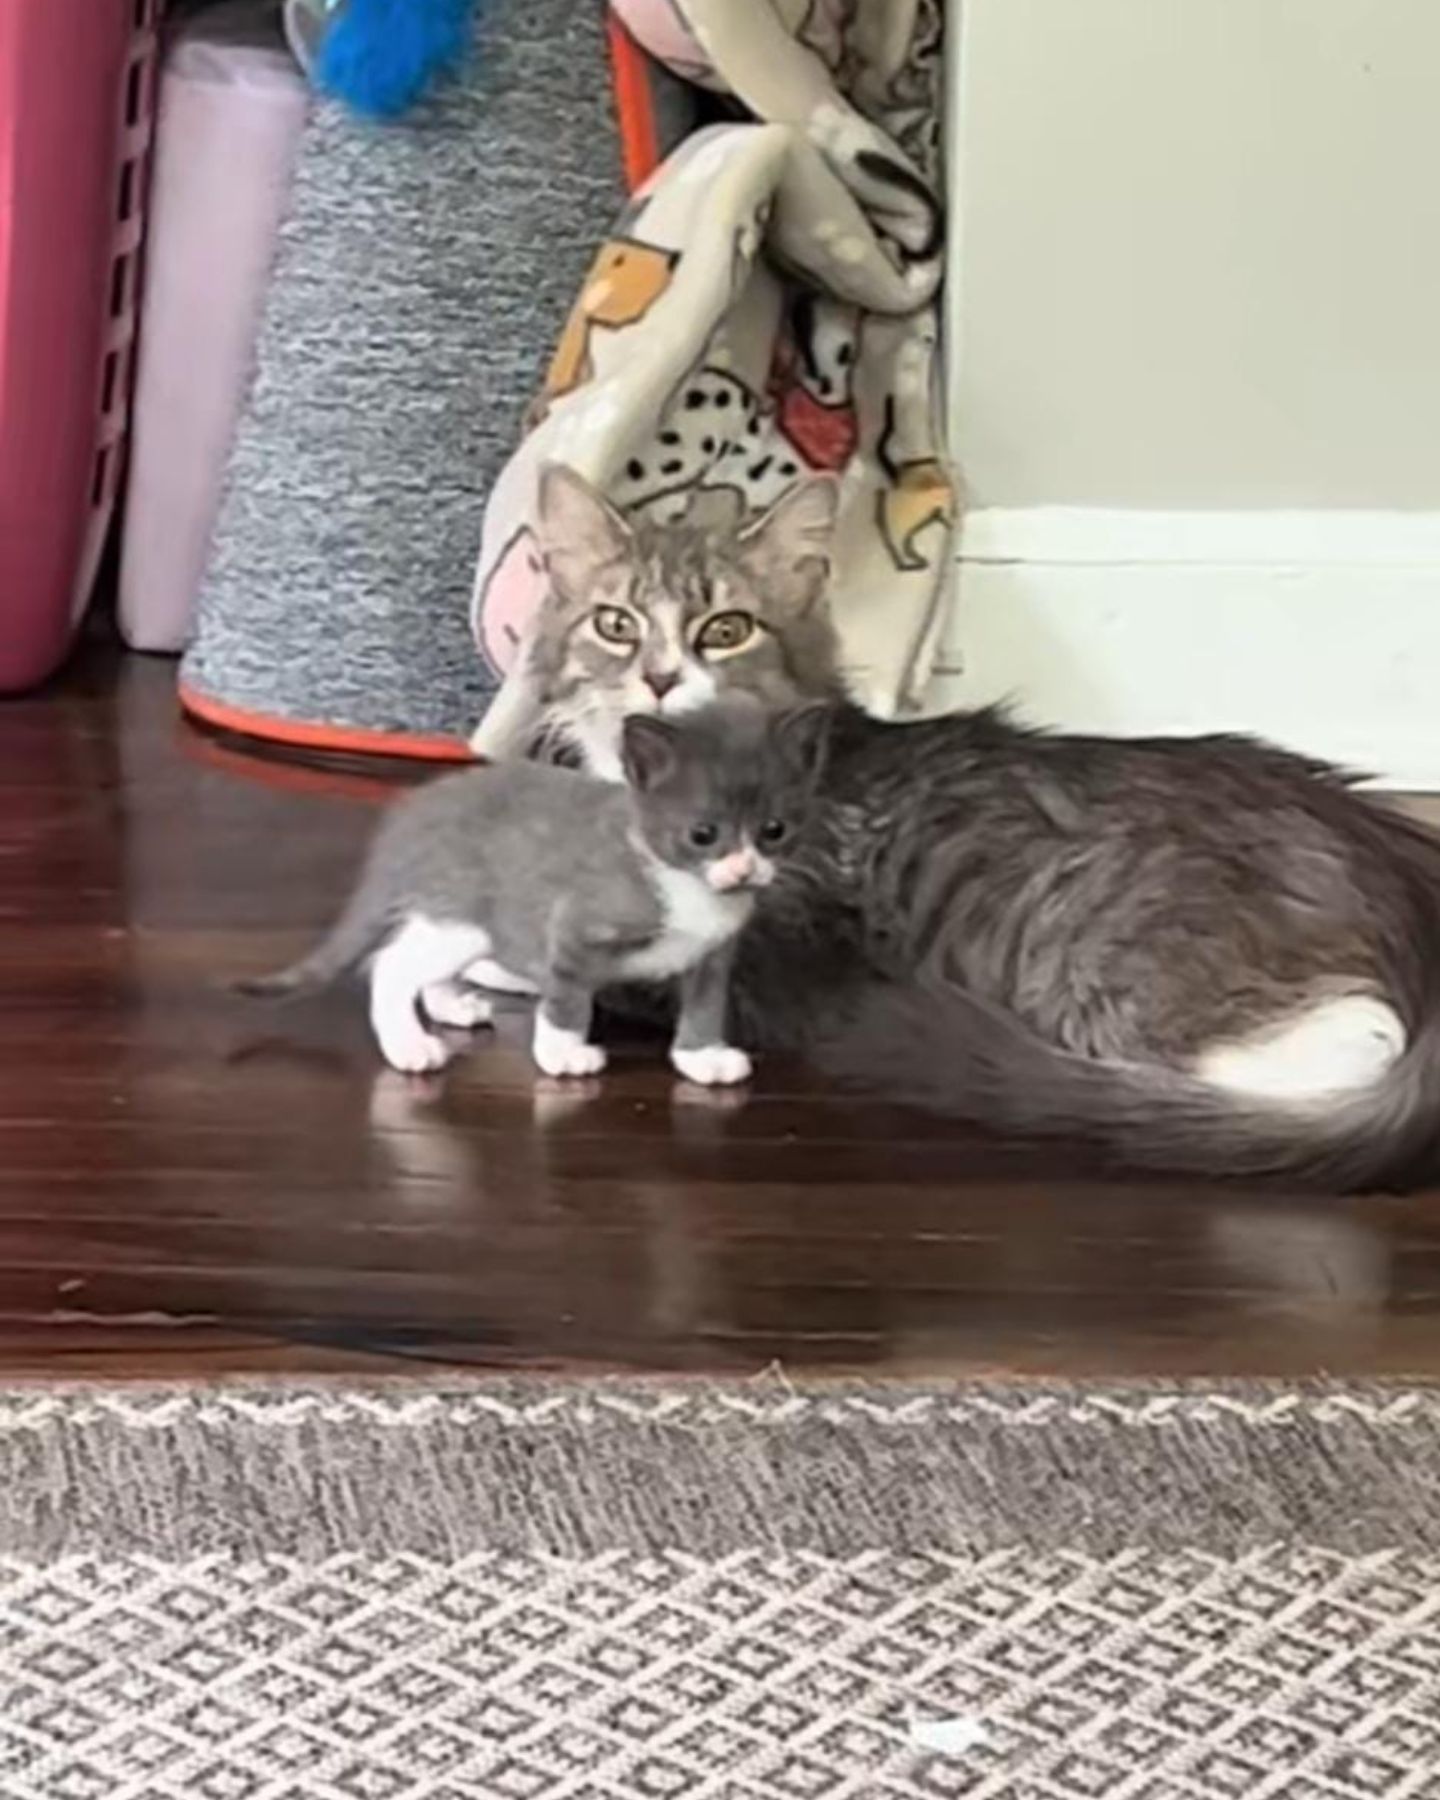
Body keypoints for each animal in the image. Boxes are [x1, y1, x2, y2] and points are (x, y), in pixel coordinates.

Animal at [241, 705, 828, 1080]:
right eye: (703, 834)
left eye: (774, 830)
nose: (744, 869)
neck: (688, 890)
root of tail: (413, 812)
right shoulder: (575, 925)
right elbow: (568, 995)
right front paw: (564, 1052)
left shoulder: (713, 954)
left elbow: (706, 1003)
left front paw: (701, 1057)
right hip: (461, 914)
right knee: (391, 965)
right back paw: (409, 1045)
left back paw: (451, 1005)